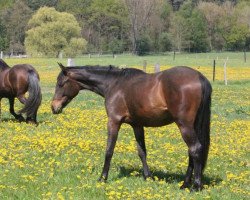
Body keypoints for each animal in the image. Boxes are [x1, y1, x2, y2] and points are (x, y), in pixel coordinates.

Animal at [51, 63, 212, 191]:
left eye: (60, 83)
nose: (53, 107)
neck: (114, 84)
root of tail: (200, 77)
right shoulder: (137, 125)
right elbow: (142, 152)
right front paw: (148, 177)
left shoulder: (113, 122)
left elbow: (109, 151)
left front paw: (102, 178)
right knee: (192, 151)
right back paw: (185, 184)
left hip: (184, 125)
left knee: (195, 149)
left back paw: (195, 186)